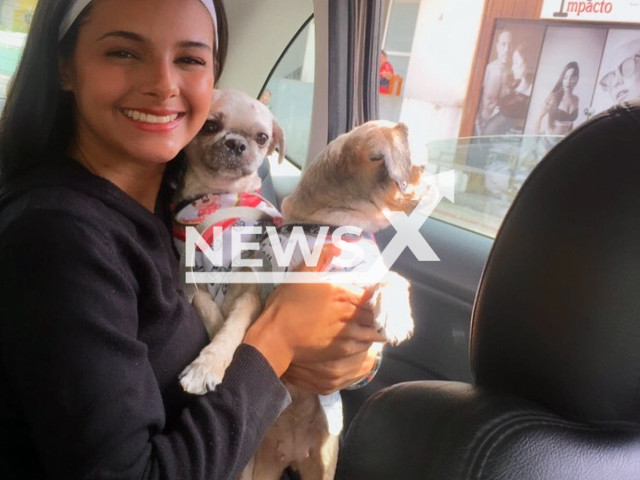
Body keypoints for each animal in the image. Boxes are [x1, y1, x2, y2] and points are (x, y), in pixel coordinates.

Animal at [175, 91, 436, 480]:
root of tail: (293, 452)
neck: (329, 227)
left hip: (323, 464)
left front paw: (396, 315)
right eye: (422, 167)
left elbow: (393, 277)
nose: (440, 182)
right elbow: (228, 325)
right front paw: (207, 366)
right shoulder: (251, 292)